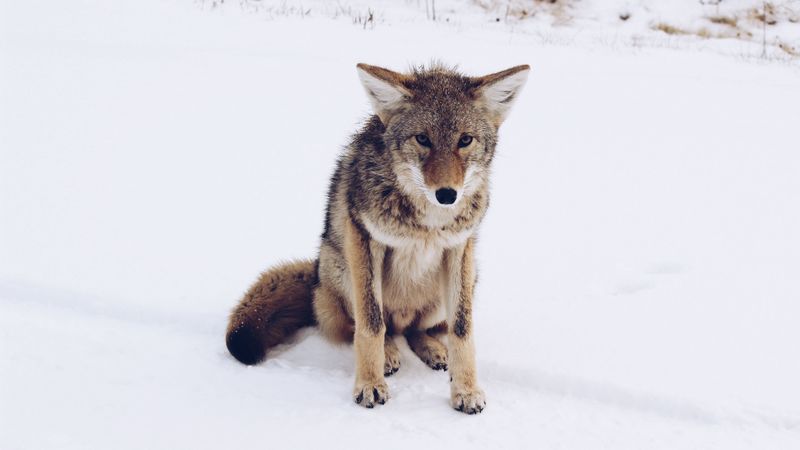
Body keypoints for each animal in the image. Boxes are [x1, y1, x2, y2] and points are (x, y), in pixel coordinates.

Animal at [225, 62, 529, 414]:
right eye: (422, 139)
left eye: (465, 140)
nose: (447, 194)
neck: (426, 224)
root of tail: (313, 275)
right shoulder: (365, 241)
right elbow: (370, 326)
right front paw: (369, 385)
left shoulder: (458, 247)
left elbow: (461, 330)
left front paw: (465, 390)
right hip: (343, 272)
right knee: (372, 328)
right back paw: (389, 355)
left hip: (464, 280)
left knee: (414, 330)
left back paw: (434, 351)